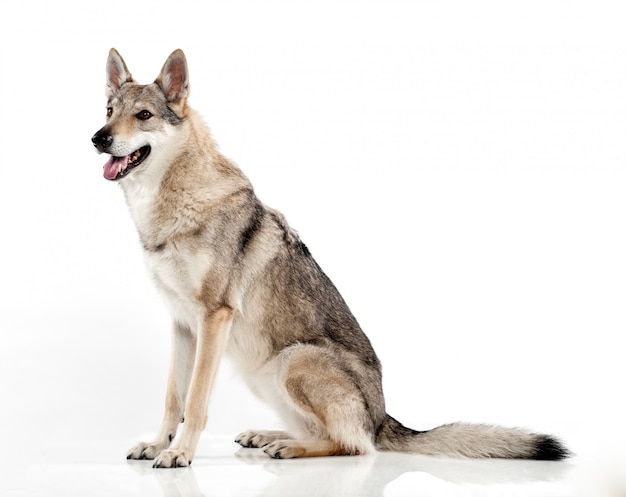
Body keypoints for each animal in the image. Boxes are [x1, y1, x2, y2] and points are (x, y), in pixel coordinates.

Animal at [90, 48, 568, 466]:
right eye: (109, 111)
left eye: (144, 115)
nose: (98, 138)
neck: (172, 207)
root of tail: (382, 418)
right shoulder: (183, 324)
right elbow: (173, 397)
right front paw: (157, 445)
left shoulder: (214, 317)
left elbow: (195, 399)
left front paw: (180, 454)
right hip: (264, 372)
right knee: (327, 432)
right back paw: (267, 436)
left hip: (293, 360)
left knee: (355, 445)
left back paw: (288, 448)